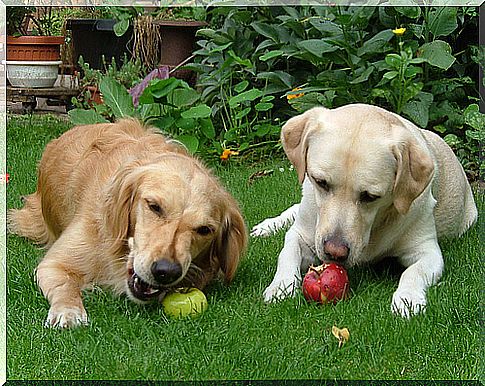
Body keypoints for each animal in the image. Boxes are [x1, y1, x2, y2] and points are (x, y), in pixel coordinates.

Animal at [9, 119, 248, 328]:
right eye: (154, 206)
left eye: (204, 230)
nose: (166, 271)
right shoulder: (53, 263)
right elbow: (64, 284)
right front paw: (68, 311)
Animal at [253, 103, 476, 316]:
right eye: (321, 182)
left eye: (370, 196)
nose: (335, 253)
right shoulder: (301, 234)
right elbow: (287, 254)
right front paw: (281, 287)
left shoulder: (427, 250)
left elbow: (414, 272)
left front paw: (407, 299)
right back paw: (267, 226)